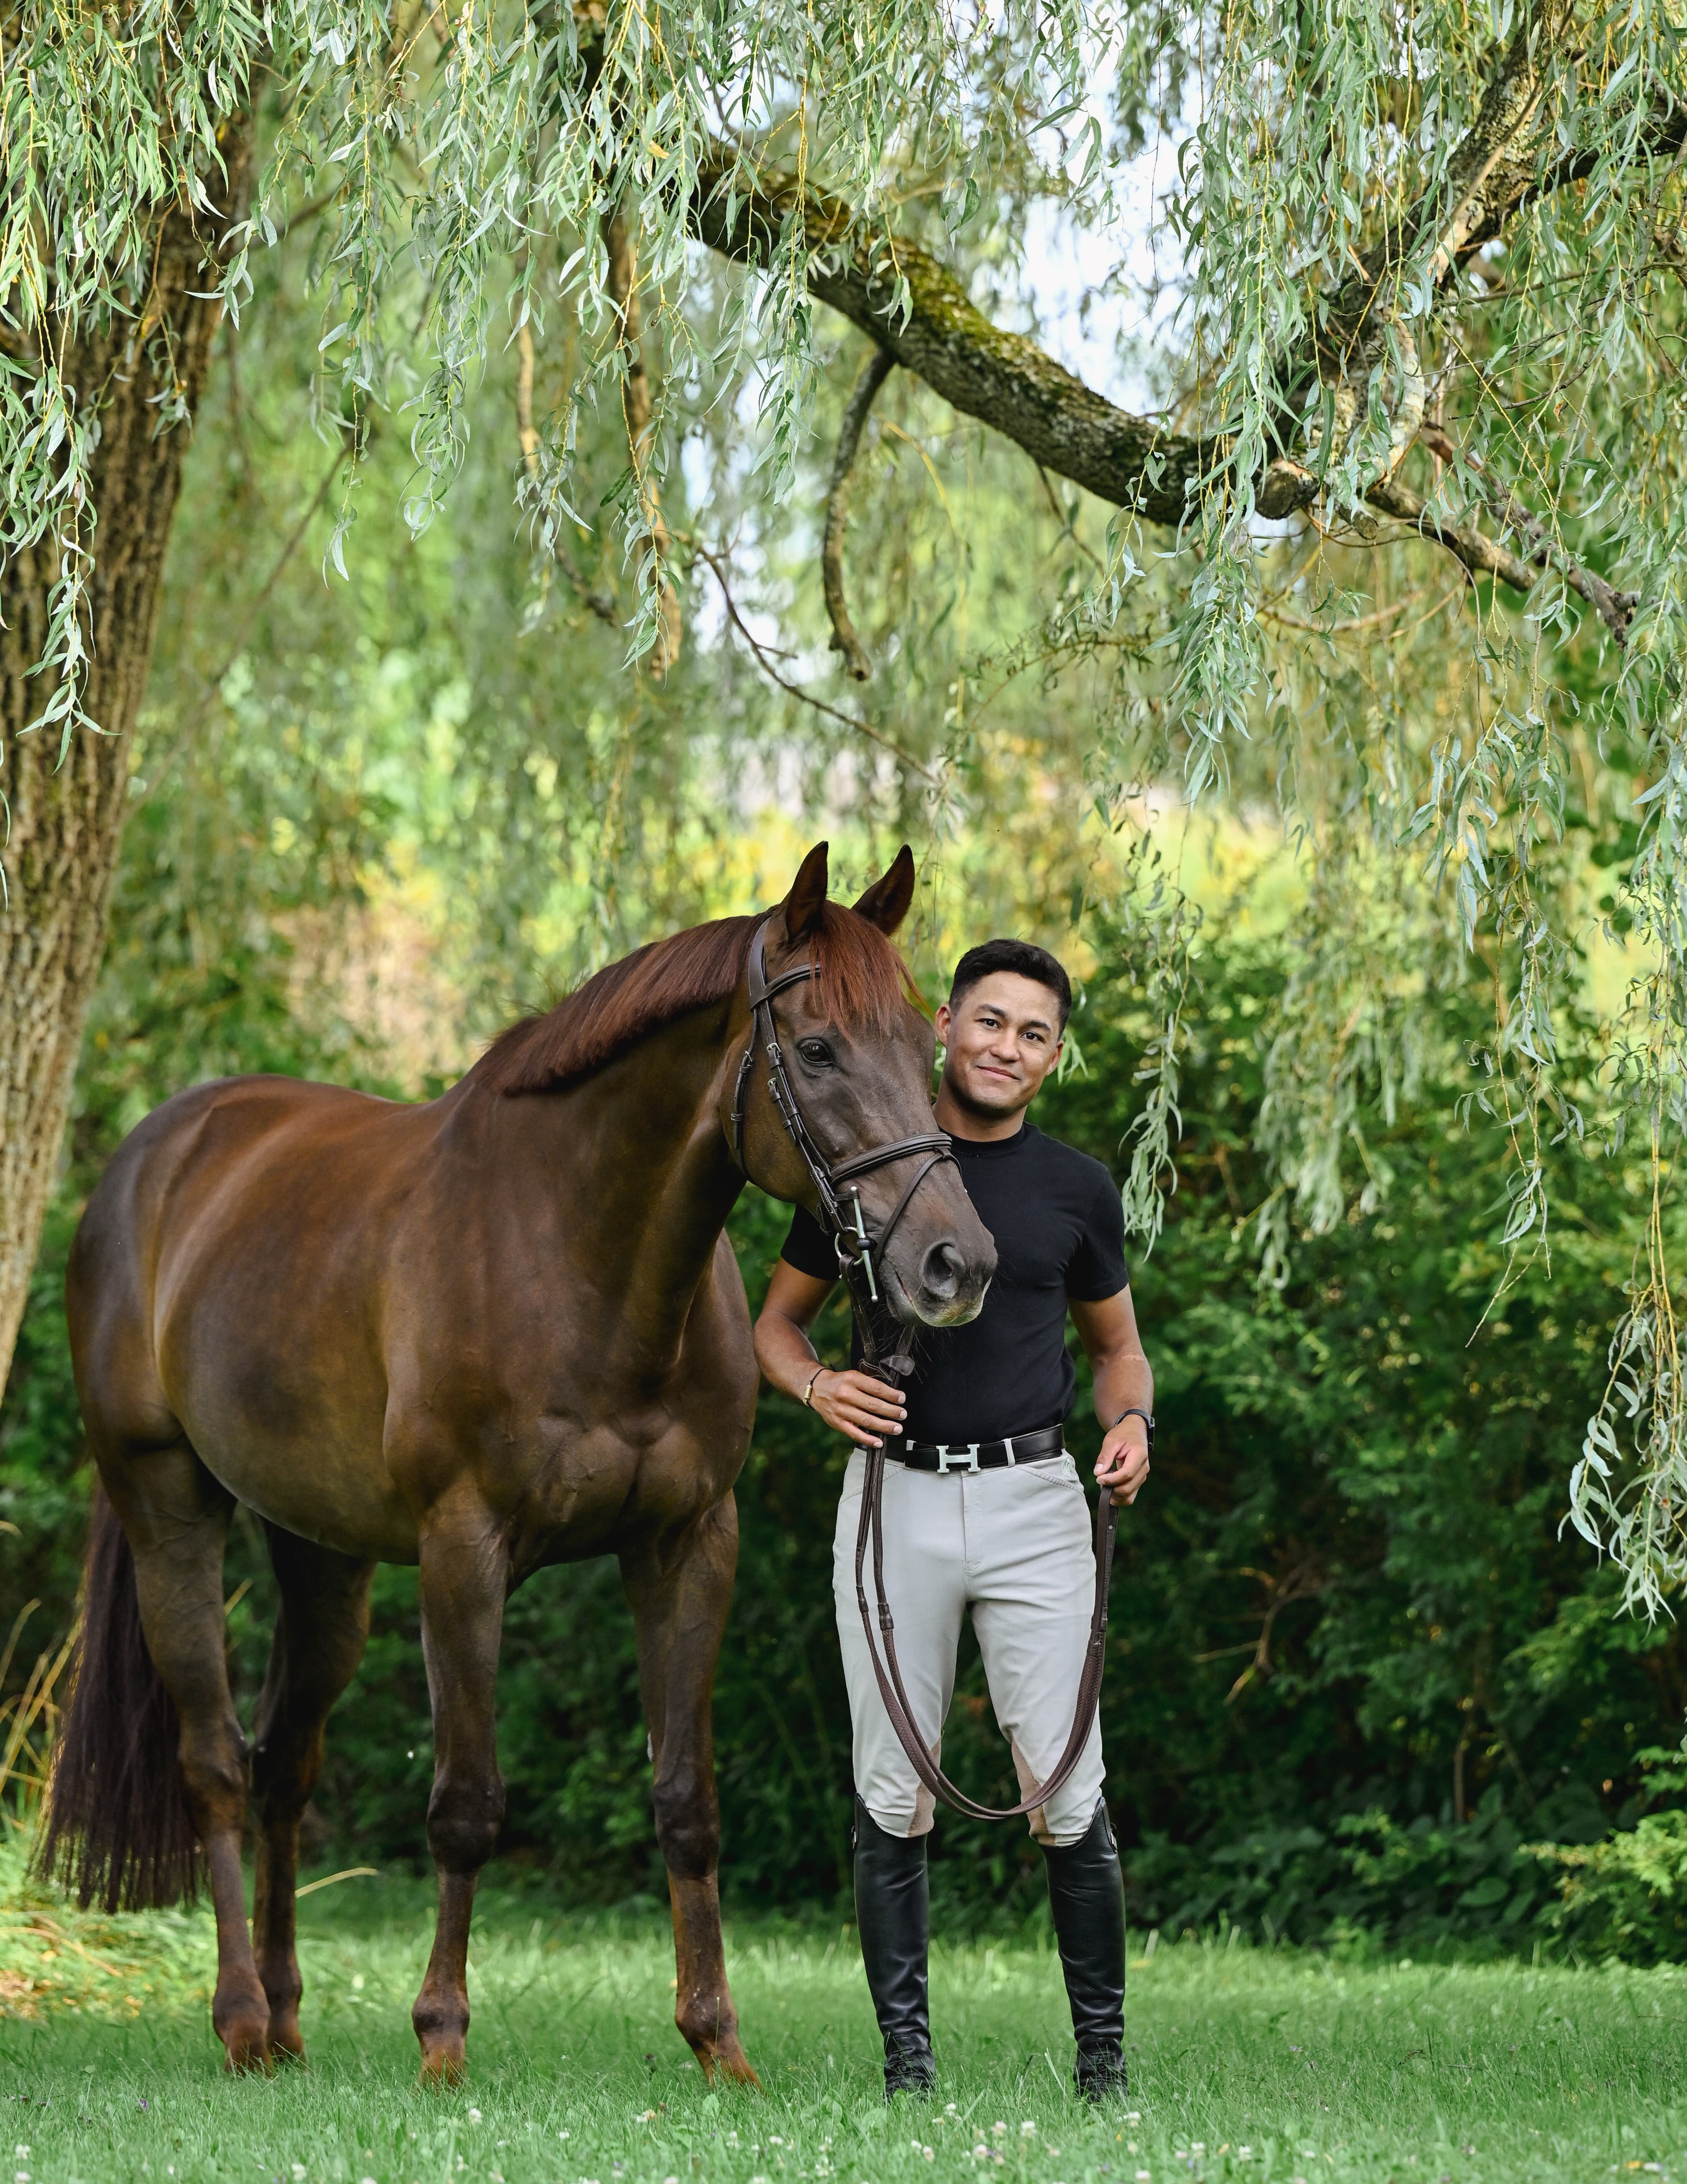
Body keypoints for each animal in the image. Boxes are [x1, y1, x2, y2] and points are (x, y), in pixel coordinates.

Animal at [39, 841, 996, 2082]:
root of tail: (151, 1160)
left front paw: (718, 2046)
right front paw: (442, 2040)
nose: (955, 1264)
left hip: (323, 1558)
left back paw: (289, 2020)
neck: (579, 1256)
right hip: (169, 1511)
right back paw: (243, 2022)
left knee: (283, 1764)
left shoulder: (689, 1544)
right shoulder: (464, 1551)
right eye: (822, 1047)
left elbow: (686, 1800)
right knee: (212, 1762)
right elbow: (467, 1804)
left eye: (925, 1045)